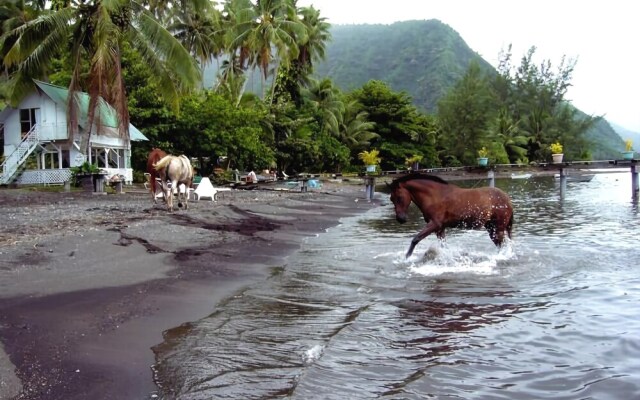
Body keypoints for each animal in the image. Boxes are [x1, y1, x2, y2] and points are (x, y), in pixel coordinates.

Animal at [384, 173, 516, 258]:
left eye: (399, 197)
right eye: (391, 199)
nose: (400, 219)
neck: (435, 196)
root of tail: (507, 199)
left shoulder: (435, 224)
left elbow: (415, 239)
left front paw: (407, 257)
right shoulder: (440, 228)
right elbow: (443, 246)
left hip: (498, 229)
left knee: (502, 245)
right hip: (491, 228)